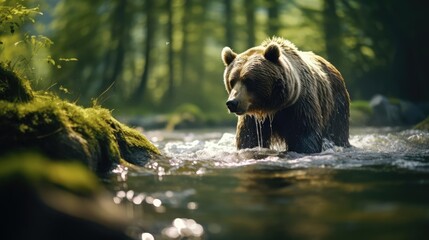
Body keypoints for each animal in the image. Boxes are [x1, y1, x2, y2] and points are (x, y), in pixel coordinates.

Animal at [222, 36, 350, 153]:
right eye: (232, 81)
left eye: (248, 80)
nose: (232, 103)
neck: (273, 107)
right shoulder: (252, 116)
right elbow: (248, 138)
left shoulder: (300, 105)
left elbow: (305, 135)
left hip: (336, 105)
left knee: (337, 132)